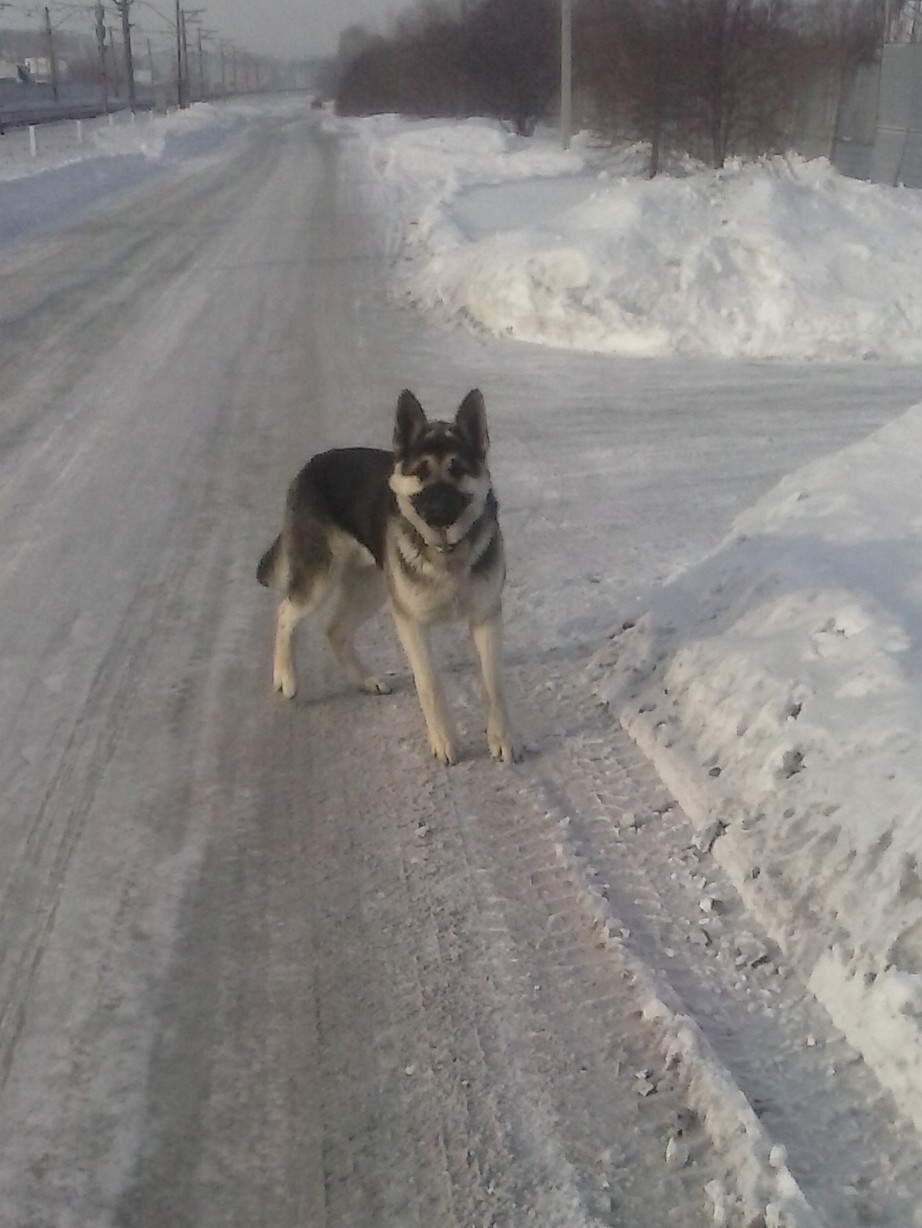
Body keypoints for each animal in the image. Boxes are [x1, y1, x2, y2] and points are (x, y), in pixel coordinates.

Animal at [256, 388, 522, 761]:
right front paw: (444, 741)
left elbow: (493, 684)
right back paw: (285, 677)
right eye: (421, 472)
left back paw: (364, 680)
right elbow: (429, 684)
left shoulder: (486, 618)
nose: (438, 507)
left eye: (457, 469)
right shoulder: (410, 622)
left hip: (371, 589)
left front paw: (501, 738)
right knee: (286, 613)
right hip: (321, 579)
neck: (445, 554)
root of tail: (312, 464)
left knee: (334, 629)